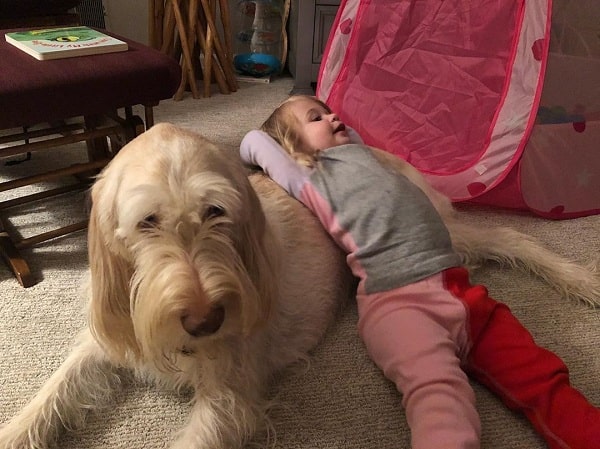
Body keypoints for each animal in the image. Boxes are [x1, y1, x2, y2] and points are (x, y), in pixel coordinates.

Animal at [0, 123, 596, 448]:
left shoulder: (230, 400)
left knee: (507, 237)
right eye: (147, 221)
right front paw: (15, 431)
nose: (204, 321)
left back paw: (580, 279)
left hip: (443, 232)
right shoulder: (106, 343)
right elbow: (53, 392)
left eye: (216, 212)